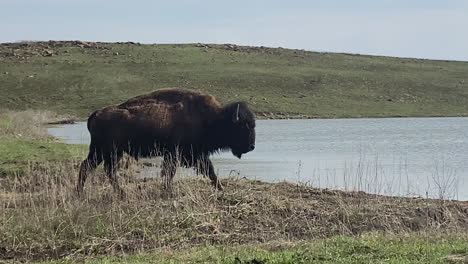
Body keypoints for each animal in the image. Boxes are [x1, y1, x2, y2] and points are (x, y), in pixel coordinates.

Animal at [78, 88, 258, 196]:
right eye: (243, 126)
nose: (251, 146)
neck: (213, 118)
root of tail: (96, 113)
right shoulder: (177, 153)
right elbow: (170, 172)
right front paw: (168, 191)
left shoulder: (196, 154)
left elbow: (210, 171)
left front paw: (220, 188)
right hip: (109, 151)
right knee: (102, 169)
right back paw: (116, 193)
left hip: (103, 152)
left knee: (91, 167)